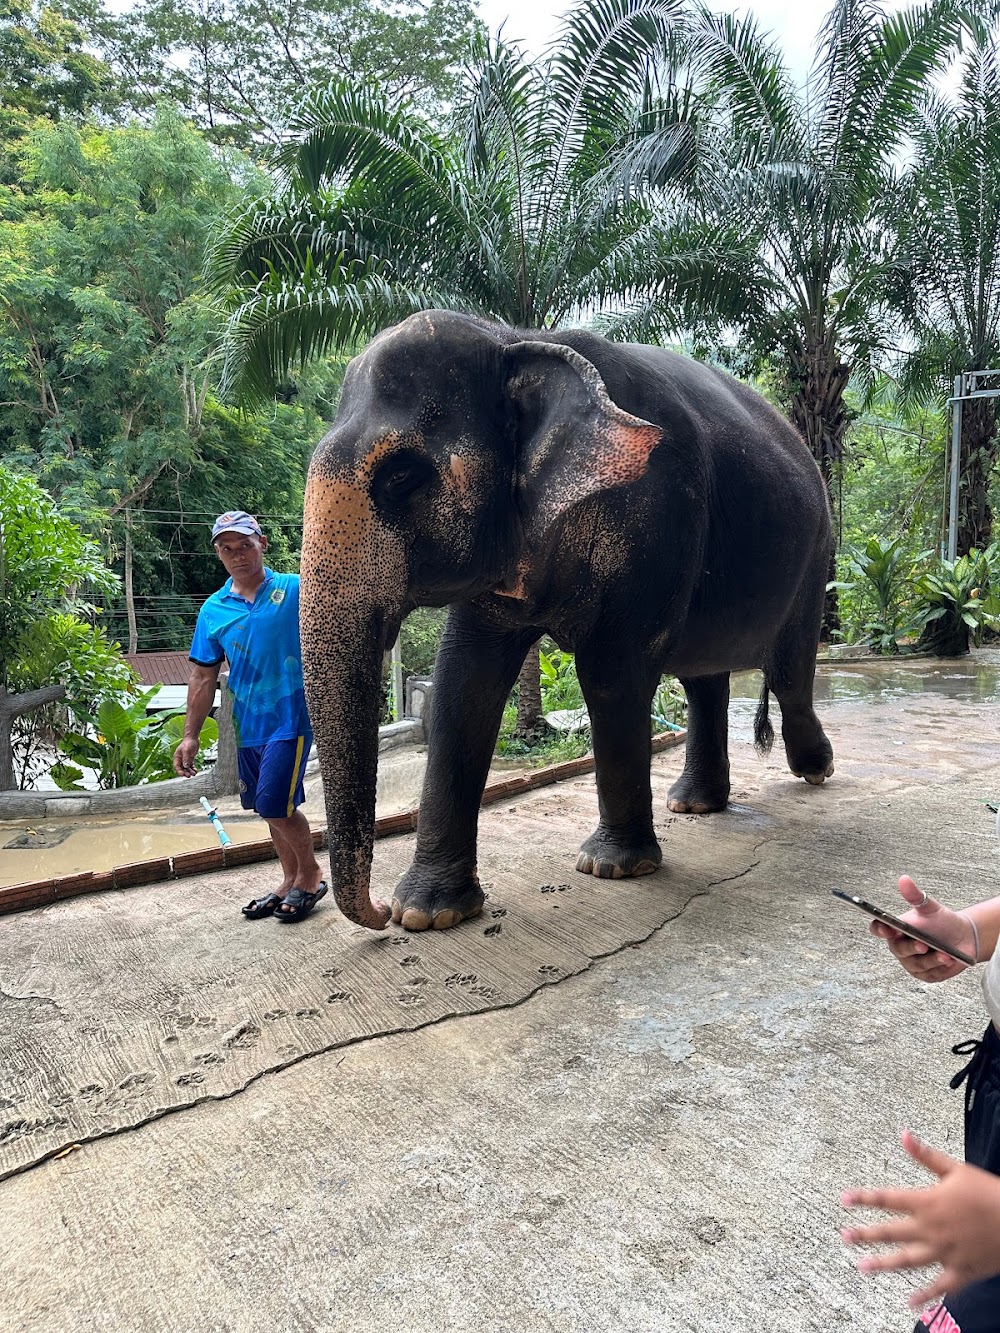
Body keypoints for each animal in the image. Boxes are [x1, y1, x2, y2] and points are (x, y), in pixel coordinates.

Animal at [300, 309, 837, 938]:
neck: (513, 339)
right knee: (704, 676)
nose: (378, 914)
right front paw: (428, 914)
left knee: (789, 671)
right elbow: (463, 683)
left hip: (816, 554)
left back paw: (814, 770)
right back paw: (694, 804)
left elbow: (610, 673)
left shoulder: (656, 515)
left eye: (402, 476)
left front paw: (613, 868)